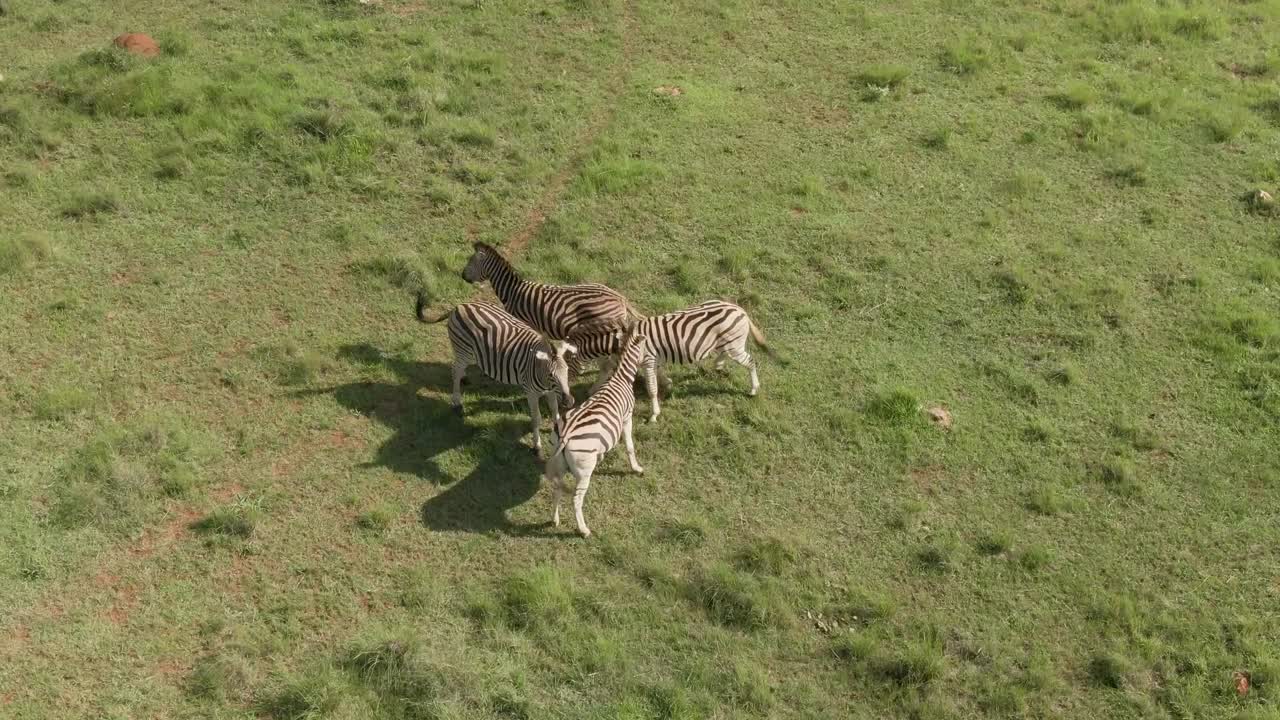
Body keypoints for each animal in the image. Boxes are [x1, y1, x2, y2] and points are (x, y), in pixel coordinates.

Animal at [415, 293, 578, 456]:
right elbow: (536, 418)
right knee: (455, 371)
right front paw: (536, 446)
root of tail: (459, 306)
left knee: (457, 367)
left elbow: (555, 412)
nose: (569, 401)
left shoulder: (550, 392)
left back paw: (464, 378)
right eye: (551, 374)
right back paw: (457, 403)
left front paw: (559, 434)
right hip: (464, 349)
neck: (542, 376)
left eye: (567, 371)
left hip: (470, 353)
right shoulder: (531, 392)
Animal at [544, 325, 648, 538]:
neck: (620, 378)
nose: (650, 359)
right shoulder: (627, 418)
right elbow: (630, 446)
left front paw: (601, 457)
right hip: (584, 473)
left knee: (557, 489)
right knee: (576, 499)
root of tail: (565, 435)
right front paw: (636, 468)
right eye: (646, 345)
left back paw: (554, 520)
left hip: (558, 461)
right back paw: (583, 530)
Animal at [566, 300, 774, 423]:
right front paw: (593, 390)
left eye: (568, 364)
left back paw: (753, 389)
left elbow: (651, 388)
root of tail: (740, 309)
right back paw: (719, 364)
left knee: (751, 362)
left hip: (734, 345)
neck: (623, 339)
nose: (568, 394)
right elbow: (608, 368)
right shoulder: (651, 359)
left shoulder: (648, 360)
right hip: (727, 343)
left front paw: (653, 414)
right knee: (727, 355)